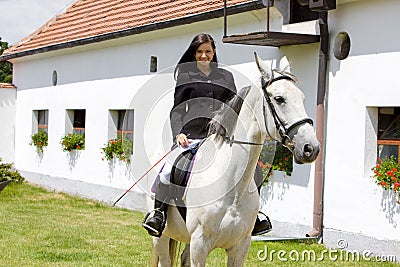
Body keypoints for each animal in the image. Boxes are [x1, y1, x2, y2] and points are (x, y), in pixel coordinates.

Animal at [149, 53, 318, 266]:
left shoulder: (240, 247)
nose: (311, 148)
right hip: (161, 237)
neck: (232, 187)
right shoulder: (199, 246)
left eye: (302, 98)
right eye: (279, 99)